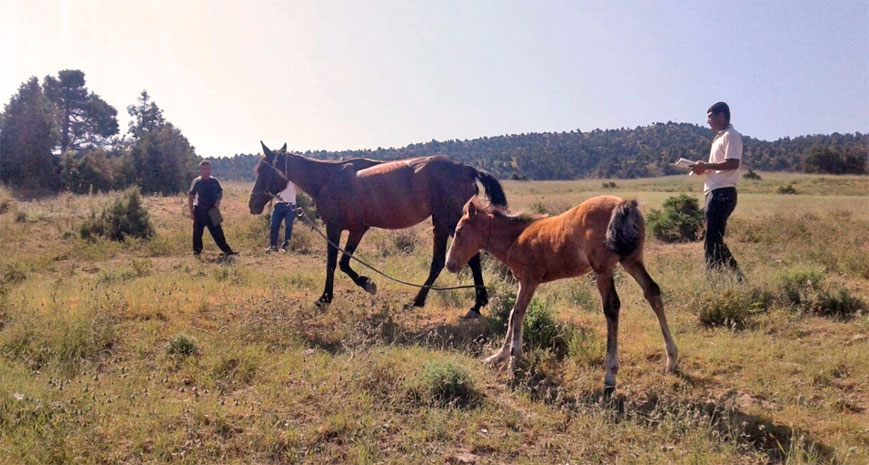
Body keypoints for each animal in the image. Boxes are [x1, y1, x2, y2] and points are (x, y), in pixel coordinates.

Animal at [248, 141, 506, 316]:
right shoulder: (356, 229)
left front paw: (328, 297)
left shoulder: (337, 228)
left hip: (452, 222)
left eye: (264, 171)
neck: (328, 178)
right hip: (442, 223)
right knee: (441, 262)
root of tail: (467, 168)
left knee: (468, 260)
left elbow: (333, 263)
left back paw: (474, 304)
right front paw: (365, 283)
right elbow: (343, 263)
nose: (253, 204)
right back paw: (423, 301)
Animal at [448, 194, 680, 394]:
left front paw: (513, 363)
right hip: (631, 259)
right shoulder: (525, 282)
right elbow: (513, 314)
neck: (515, 238)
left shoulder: (529, 279)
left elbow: (517, 314)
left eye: (459, 231)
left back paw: (610, 378)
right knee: (652, 291)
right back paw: (672, 359)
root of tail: (623, 204)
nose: (449, 264)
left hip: (602, 269)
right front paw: (497, 357)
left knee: (612, 307)